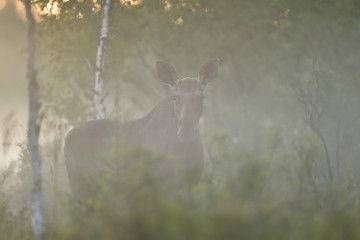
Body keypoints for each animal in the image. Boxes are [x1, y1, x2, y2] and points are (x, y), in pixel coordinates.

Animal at [63, 58, 218, 195]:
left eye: (201, 96)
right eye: (175, 96)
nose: (187, 131)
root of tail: (67, 137)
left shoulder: (190, 183)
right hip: (78, 184)